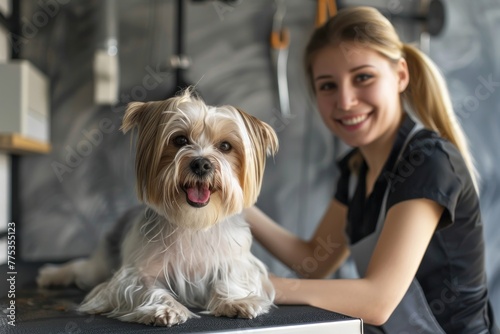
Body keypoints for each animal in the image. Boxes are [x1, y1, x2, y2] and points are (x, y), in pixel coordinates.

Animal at [38, 88, 282, 326]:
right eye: (180, 139)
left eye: (225, 146)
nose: (201, 163)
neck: (193, 220)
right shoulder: (135, 273)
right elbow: (145, 287)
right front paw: (165, 308)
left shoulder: (237, 261)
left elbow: (232, 276)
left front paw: (236, 300)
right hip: (101, 264)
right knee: (81, 267)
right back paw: (51, 275)